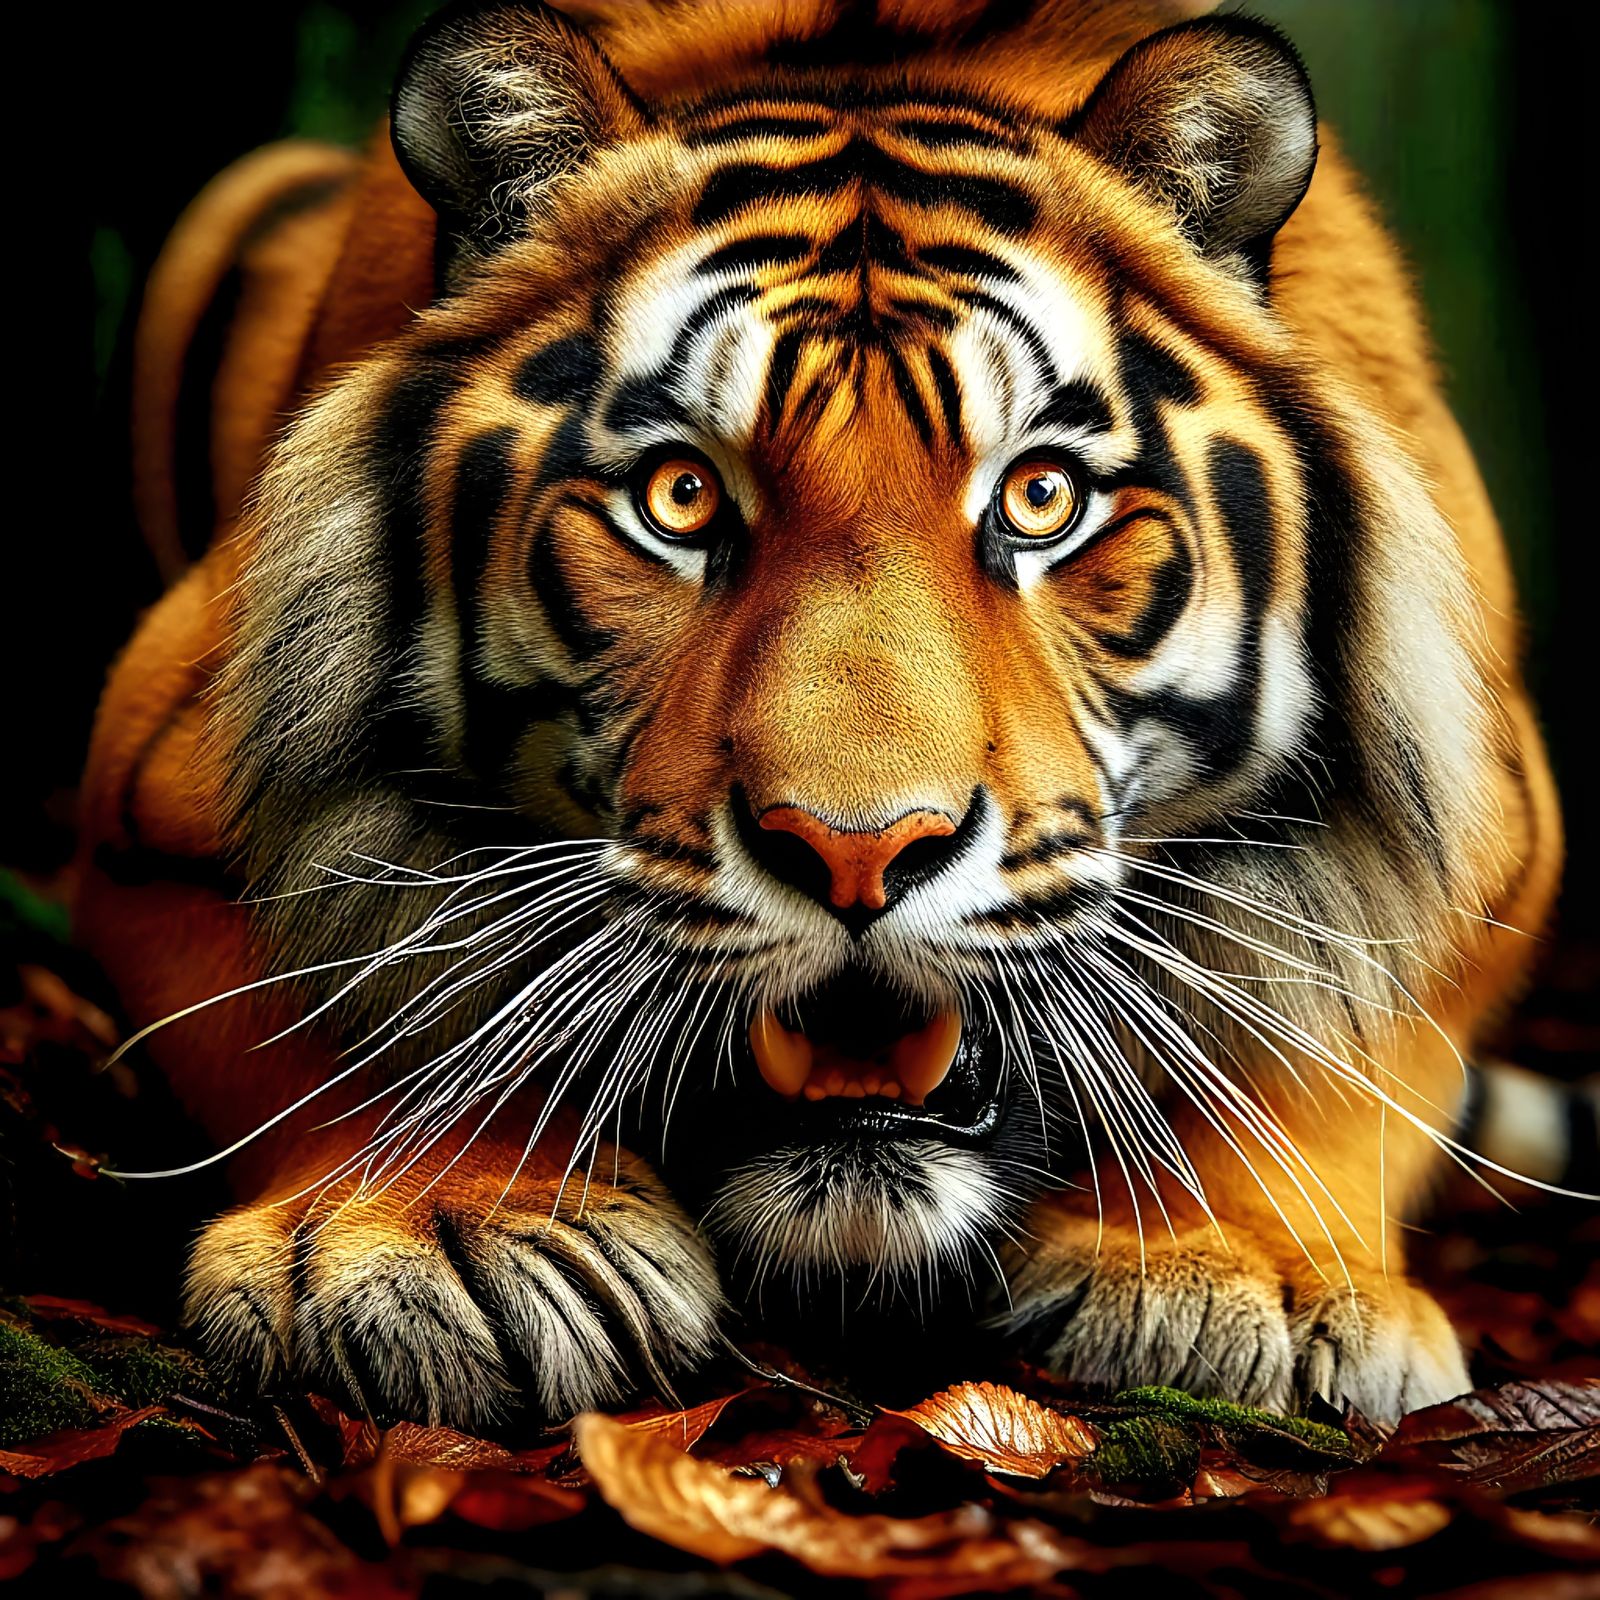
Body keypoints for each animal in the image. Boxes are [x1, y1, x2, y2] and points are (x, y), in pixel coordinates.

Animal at [77, 0, 1589, 1433]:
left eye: (1041, 497)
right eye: (680, 497)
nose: (858, 854)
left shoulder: (1493, 837)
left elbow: (1337, 1013)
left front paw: (1239, 1267)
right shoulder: (160, 794)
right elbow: (349, 992)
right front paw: (447, 1229)